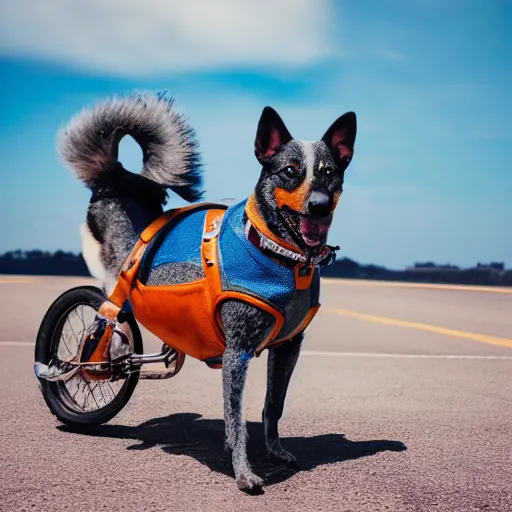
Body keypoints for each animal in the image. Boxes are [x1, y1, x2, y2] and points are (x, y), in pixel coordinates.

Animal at [57, 93, 356, 492]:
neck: (281, 255)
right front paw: (243, 473)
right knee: (107, 310)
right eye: (290, 171)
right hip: (114, 262)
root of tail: (116, 177)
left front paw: (276, 451)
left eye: (329, 172)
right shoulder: (237, 353)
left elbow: (272, 406)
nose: (319, 205)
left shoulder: (289, 347)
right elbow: (237, 418)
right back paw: (107, 349)